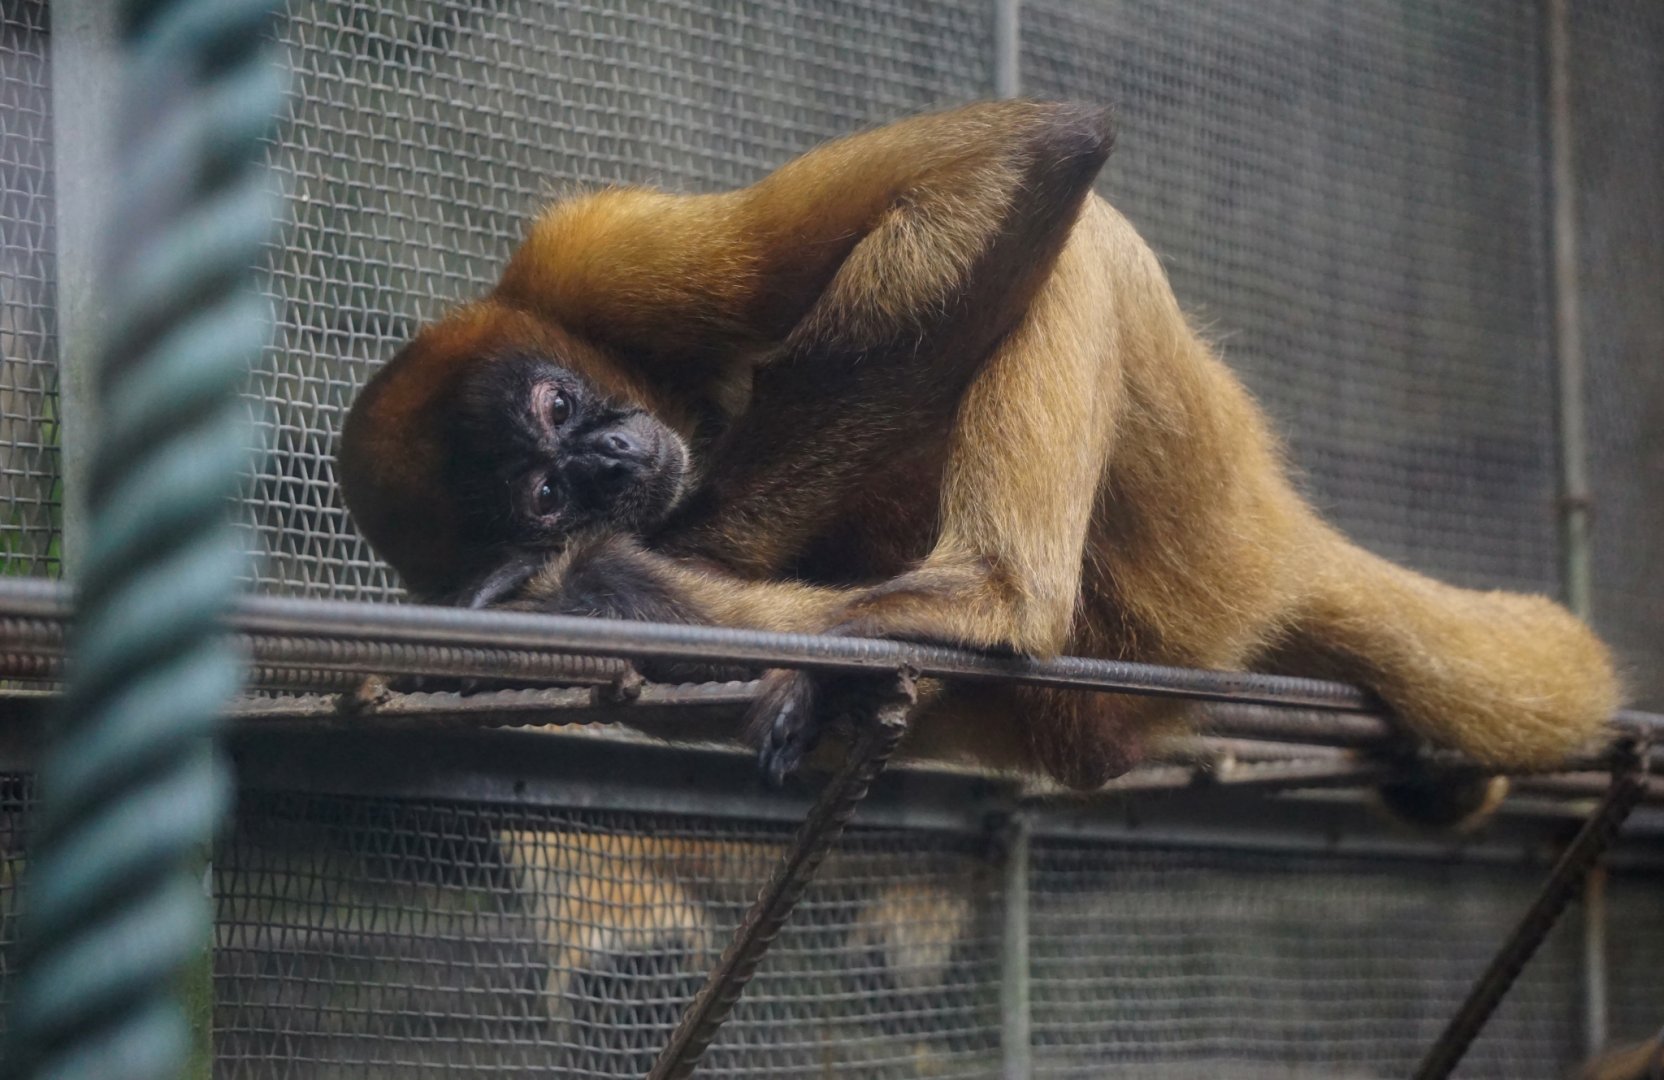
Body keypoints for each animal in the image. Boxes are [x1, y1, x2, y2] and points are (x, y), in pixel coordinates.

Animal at [338, 100, 1620, 802]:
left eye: (557, 409)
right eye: (544, 493)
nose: (608, 463)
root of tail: (1279, 538)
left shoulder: (583, 256)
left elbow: (1040, 148)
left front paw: (667, 545)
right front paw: (615, 571)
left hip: (1198, 505)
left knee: (1074, 230)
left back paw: (975, 598)